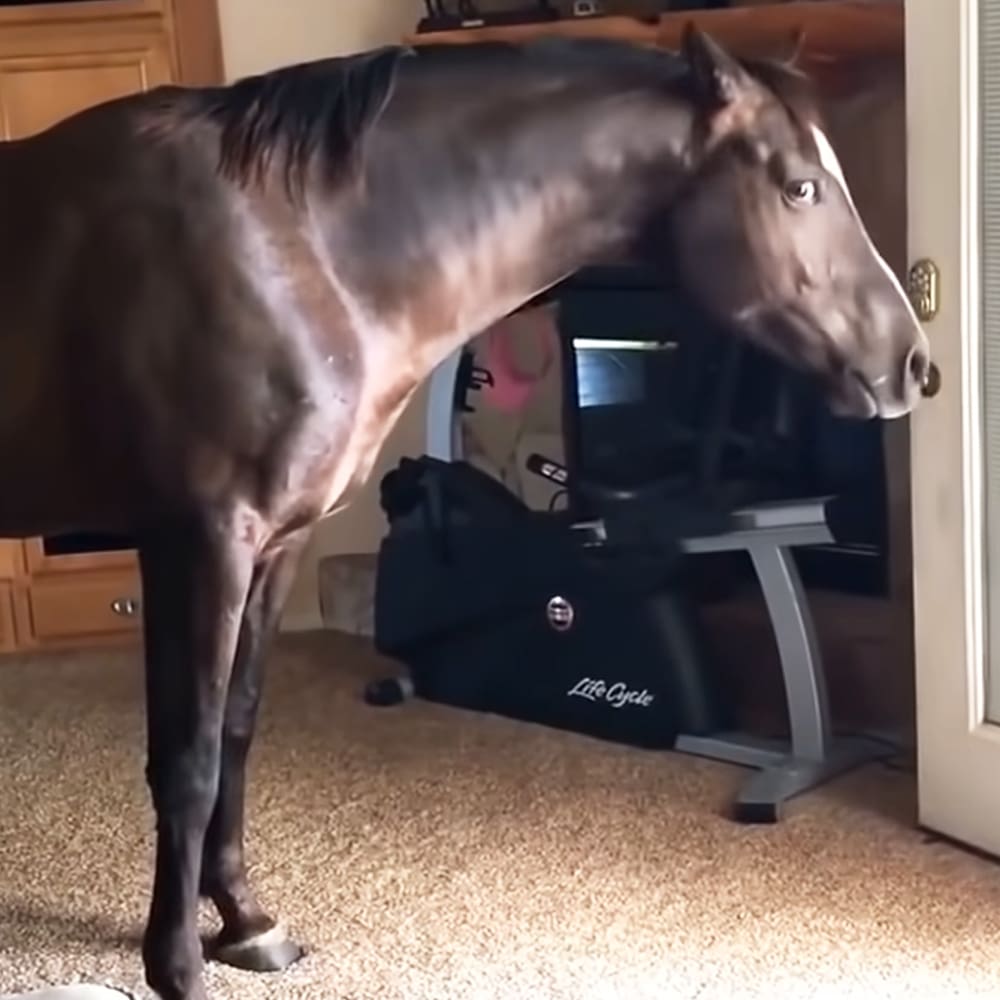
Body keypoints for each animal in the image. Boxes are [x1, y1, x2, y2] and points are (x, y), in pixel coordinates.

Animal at [0, 26, 934, 1000]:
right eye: (800, 186)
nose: (912, 364)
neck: (294, 249)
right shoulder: (201, 541)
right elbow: (187, 759)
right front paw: (178, 964)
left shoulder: (275, 546)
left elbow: (237, 733)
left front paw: (247, 922)